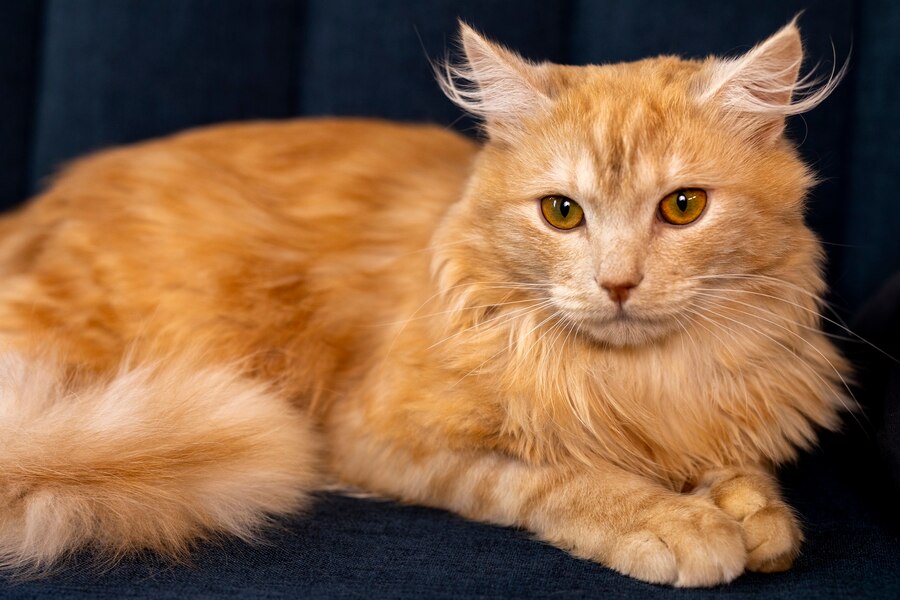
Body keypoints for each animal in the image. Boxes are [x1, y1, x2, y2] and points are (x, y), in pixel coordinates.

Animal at [0, 21, 852, 588]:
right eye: (562, 213)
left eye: (682, 207)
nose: (618, 284)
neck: (634, 380)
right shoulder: (378, 437)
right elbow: (562, 476)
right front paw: (675, 521)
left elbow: (741, 466)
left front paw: (754, 514)